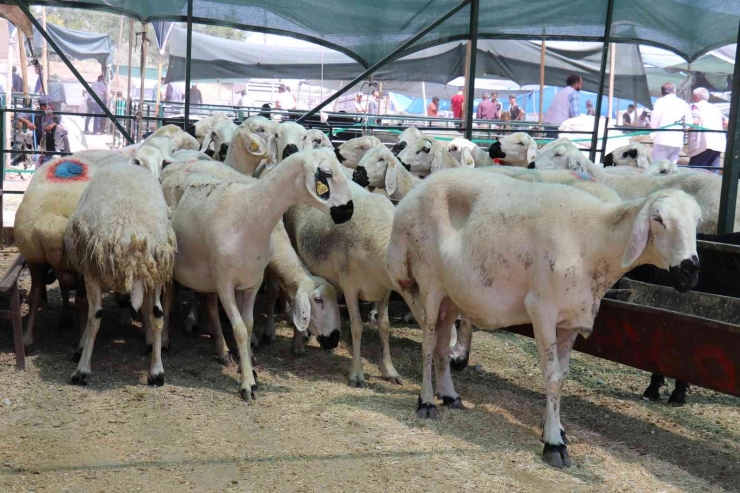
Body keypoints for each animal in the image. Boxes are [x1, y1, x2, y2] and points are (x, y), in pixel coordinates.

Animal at [62, 163, 175, 386]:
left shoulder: (89, 273)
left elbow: (93, 315)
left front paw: (82, 363)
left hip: (95, 271)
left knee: (96, 315)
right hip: (156, 271)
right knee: (157, 314)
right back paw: (156, 371)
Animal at [162, 147, 352, 400]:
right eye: (328, 173)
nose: (349, 210)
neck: (250, 216)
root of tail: (172, 167)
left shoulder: (252, 282)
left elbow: (249, 324)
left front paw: (249, 367)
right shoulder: (225, 284)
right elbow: (240, 330)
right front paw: (247, 385)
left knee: (209, 307)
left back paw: (221, 350)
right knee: (168, 302)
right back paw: (164, 343)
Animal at [286, 183, 404, 386]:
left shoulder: (385, 290)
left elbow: (384, 326)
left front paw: (389, 370)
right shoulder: (350, 286)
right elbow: (356, 327)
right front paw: (356, 374)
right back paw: (298, 344)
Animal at [384, 168, 704, 466]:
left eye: (698, 221)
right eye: (658, 218)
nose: (690, 270)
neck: (594, 243)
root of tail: (412, 196)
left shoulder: (571, 320)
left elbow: (563, 375)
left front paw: (557, 428)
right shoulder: (543, 310)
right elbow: (551, 376)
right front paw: (554, 444)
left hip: (452, 294)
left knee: (441, 344)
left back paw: (449, 395)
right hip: (428, 280)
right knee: (428, 343)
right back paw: (426, 402)